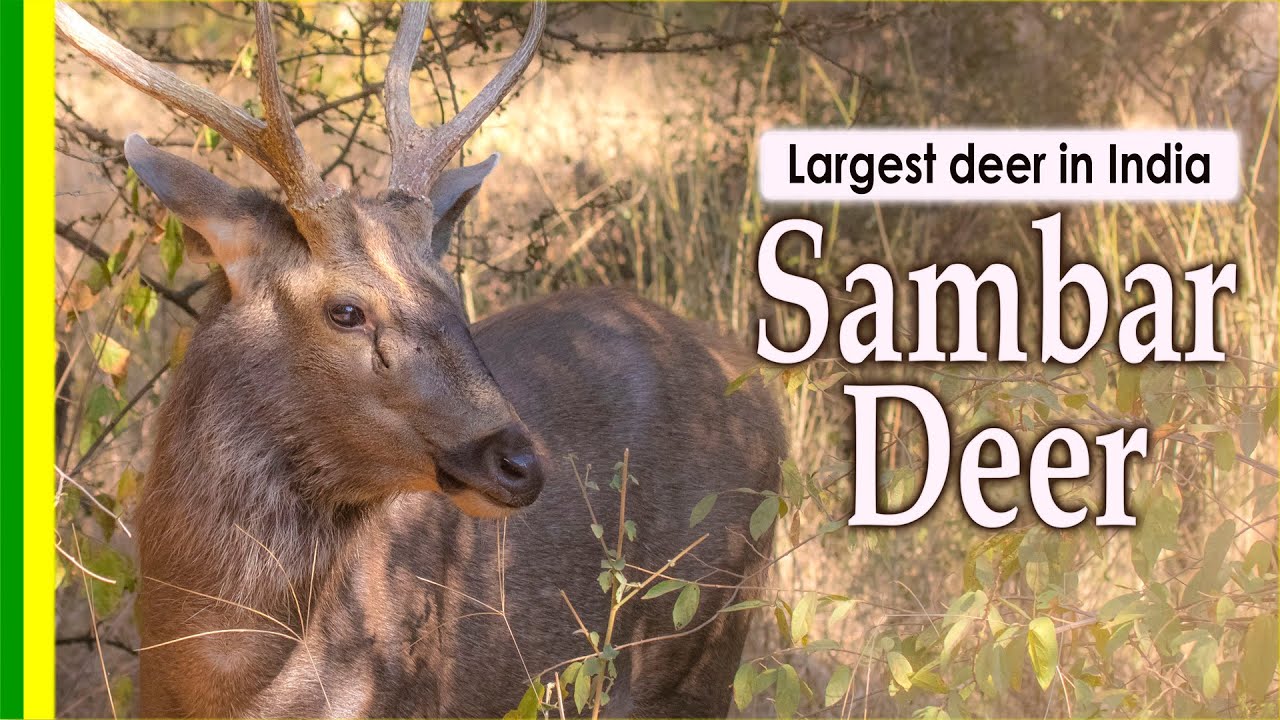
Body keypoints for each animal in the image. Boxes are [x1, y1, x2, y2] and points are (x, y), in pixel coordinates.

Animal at [56, 1, 785, 717]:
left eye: (450, 291)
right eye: (347, 310)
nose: (521, 463)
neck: (216, 685)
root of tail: (751, 385)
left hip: (702, 638)